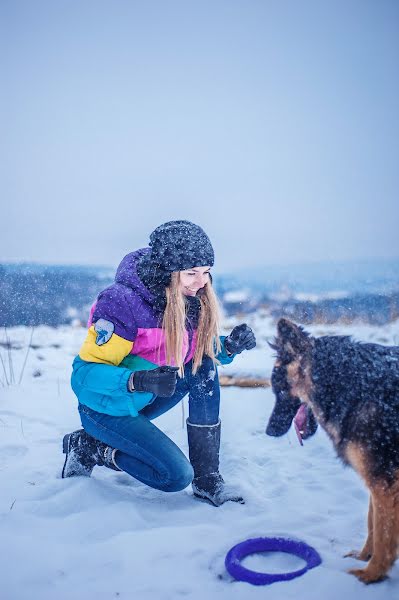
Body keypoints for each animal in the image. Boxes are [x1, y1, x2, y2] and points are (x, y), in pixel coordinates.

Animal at [266, 318, 399, 580]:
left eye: (279, 388)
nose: (268, 431)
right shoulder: (378, 481)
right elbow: (372, 523)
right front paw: (363, 557)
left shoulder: (384, 483)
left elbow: (383, 533)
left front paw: (369, 575)